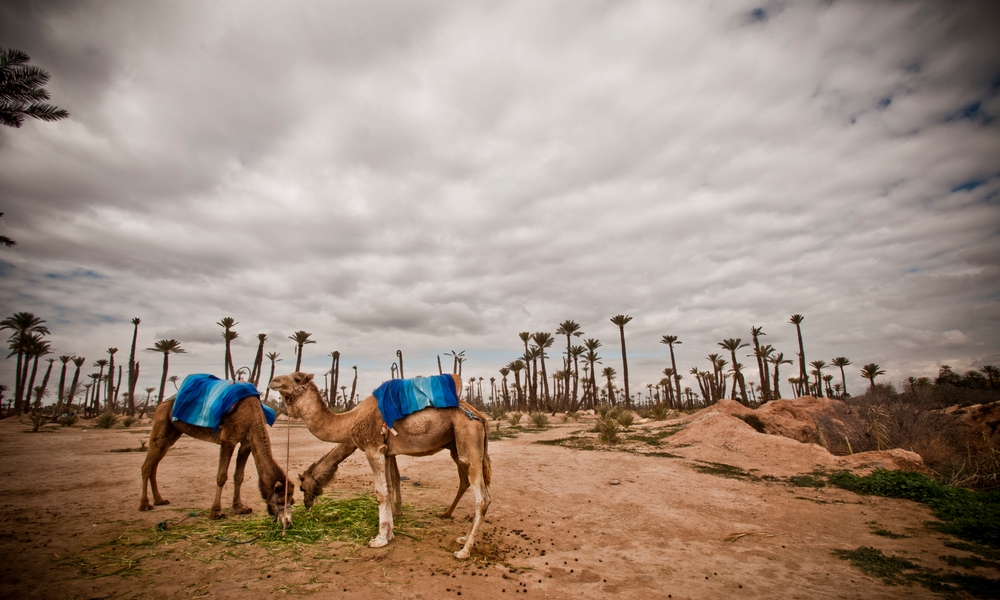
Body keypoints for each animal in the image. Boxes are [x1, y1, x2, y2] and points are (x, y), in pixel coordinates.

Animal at [139, 396, 292, 528]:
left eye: (292, 501)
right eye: (280, 501)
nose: (288, 523)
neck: (252, 413)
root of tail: (161, 405)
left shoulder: (247, 442)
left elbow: (239, 476)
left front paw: (239, 507)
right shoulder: (228, 440)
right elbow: (221, 476)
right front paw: (216, 512)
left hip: (172, 433)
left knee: (154, 465)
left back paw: (159, 500)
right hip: (161, 424)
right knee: (147, 465)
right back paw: (145, 504)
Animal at [270, 372, 492, 560]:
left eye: (297, 379)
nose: (274, 380)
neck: (350, 420)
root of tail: (481, 417)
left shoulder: (373, 448)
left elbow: (381, 493)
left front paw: (379, 539)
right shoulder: (386, 451)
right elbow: (390, 486)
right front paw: (390, 532)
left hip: (468, 440)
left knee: (482, 498)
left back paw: (464, 551)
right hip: (459, 445)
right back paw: (462, 537)